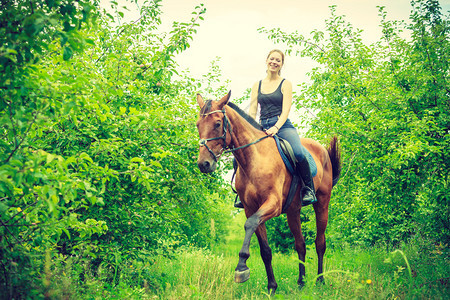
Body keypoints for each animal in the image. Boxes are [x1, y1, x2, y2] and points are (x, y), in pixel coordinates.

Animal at [195, 91, 340, 292]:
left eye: (217, 123)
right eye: (198, 125)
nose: (204, 164)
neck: (255, 158)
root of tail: (322, 150)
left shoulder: (272, 204)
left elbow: (249, 224)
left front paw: (241, 268)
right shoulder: (251, 208)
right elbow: (265, 249)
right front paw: (272, 286)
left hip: (322, 204)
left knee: (320, 243)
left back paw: (320, 280)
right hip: (293, 211)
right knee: (300, 244)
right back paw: (301, 282)